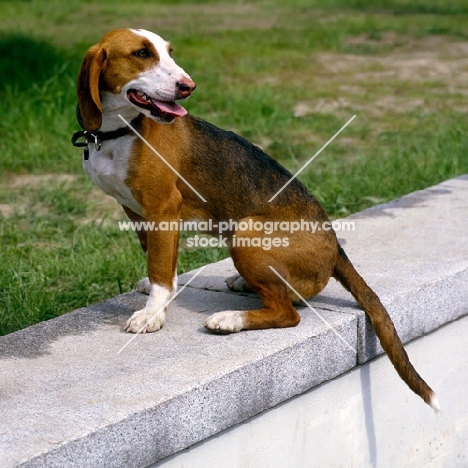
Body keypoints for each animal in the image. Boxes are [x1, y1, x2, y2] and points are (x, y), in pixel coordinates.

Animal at [73, 28, 438, 410]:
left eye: (169, 53)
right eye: (142, 53)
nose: (188, 86)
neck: (116, 133)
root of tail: (335, 246)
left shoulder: (162, 209)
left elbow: (159, 267)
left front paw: (152, 313)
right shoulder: (137, 212)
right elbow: (159, 260)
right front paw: (160, 295)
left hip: (245, 233)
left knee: (288, 314)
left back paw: (230, 320)